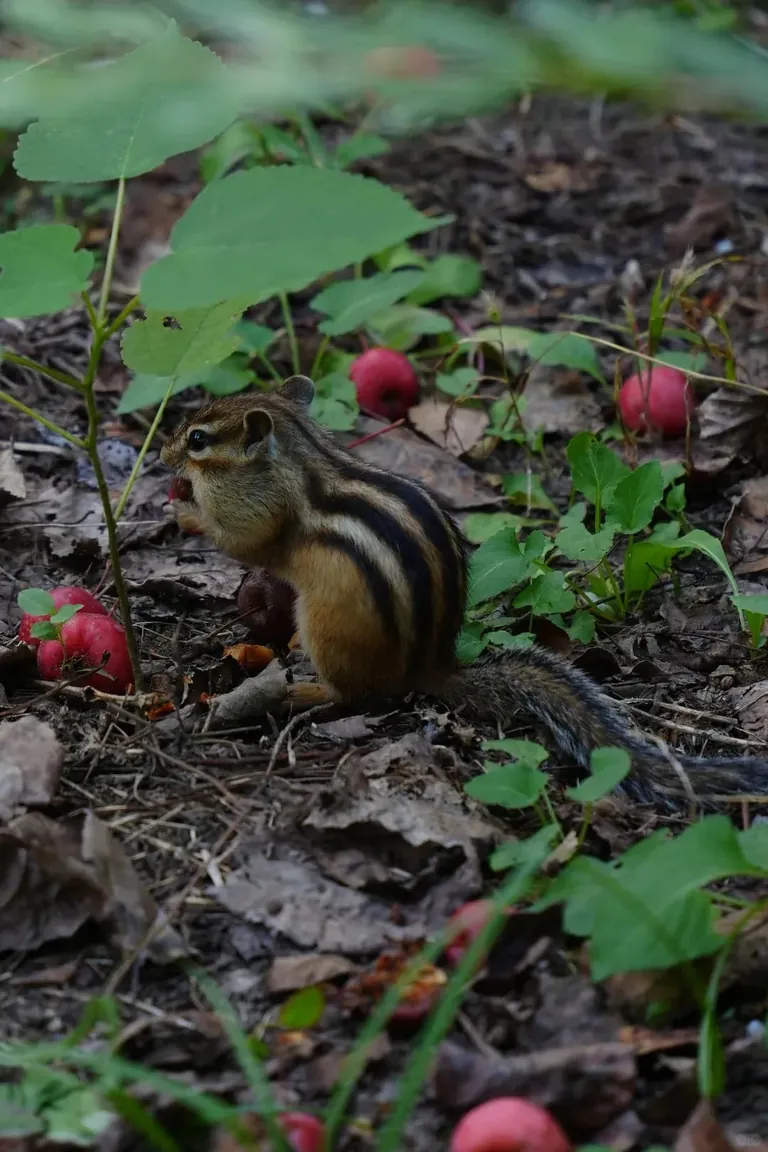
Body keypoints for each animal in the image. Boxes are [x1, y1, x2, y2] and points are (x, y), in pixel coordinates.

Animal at [161, 374, 768, 806]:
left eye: (197, 439)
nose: (163, 456)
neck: (298, 457)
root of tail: (430, 665)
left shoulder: (260, 514)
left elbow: (243, 541)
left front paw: (185, 512)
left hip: (327, 630)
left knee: (353, 695)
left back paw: (303, 691)